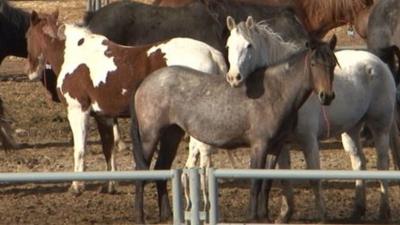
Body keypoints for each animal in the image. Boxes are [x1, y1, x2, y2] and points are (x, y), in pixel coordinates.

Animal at [131, 37, 338, 223]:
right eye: (313, 64)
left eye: (333, 63)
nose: (326, 96)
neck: (276, 92)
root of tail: (144, 84)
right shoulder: (259, 146)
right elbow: (255, 182)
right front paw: (253, 217)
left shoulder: (275, 147)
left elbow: (267, 182)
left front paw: (265, 216)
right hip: (150, 137)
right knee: (142, 173)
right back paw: (140, 217)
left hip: (171, 135)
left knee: (160, 169)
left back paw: (167, 216)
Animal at [227, 16, 398, 223]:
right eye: (228, 45)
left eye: (249, 45)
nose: (233, 77)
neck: (287, 88)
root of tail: (379, 64)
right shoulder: (281, 144)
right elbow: (284, 176)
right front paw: (284, 214)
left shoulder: (308, 141)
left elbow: (314, 177)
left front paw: (322, 216)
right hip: (351, 130)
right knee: (359, 163)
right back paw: (358, 210)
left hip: (380, 126)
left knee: (382, 164)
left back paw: (383, 211)